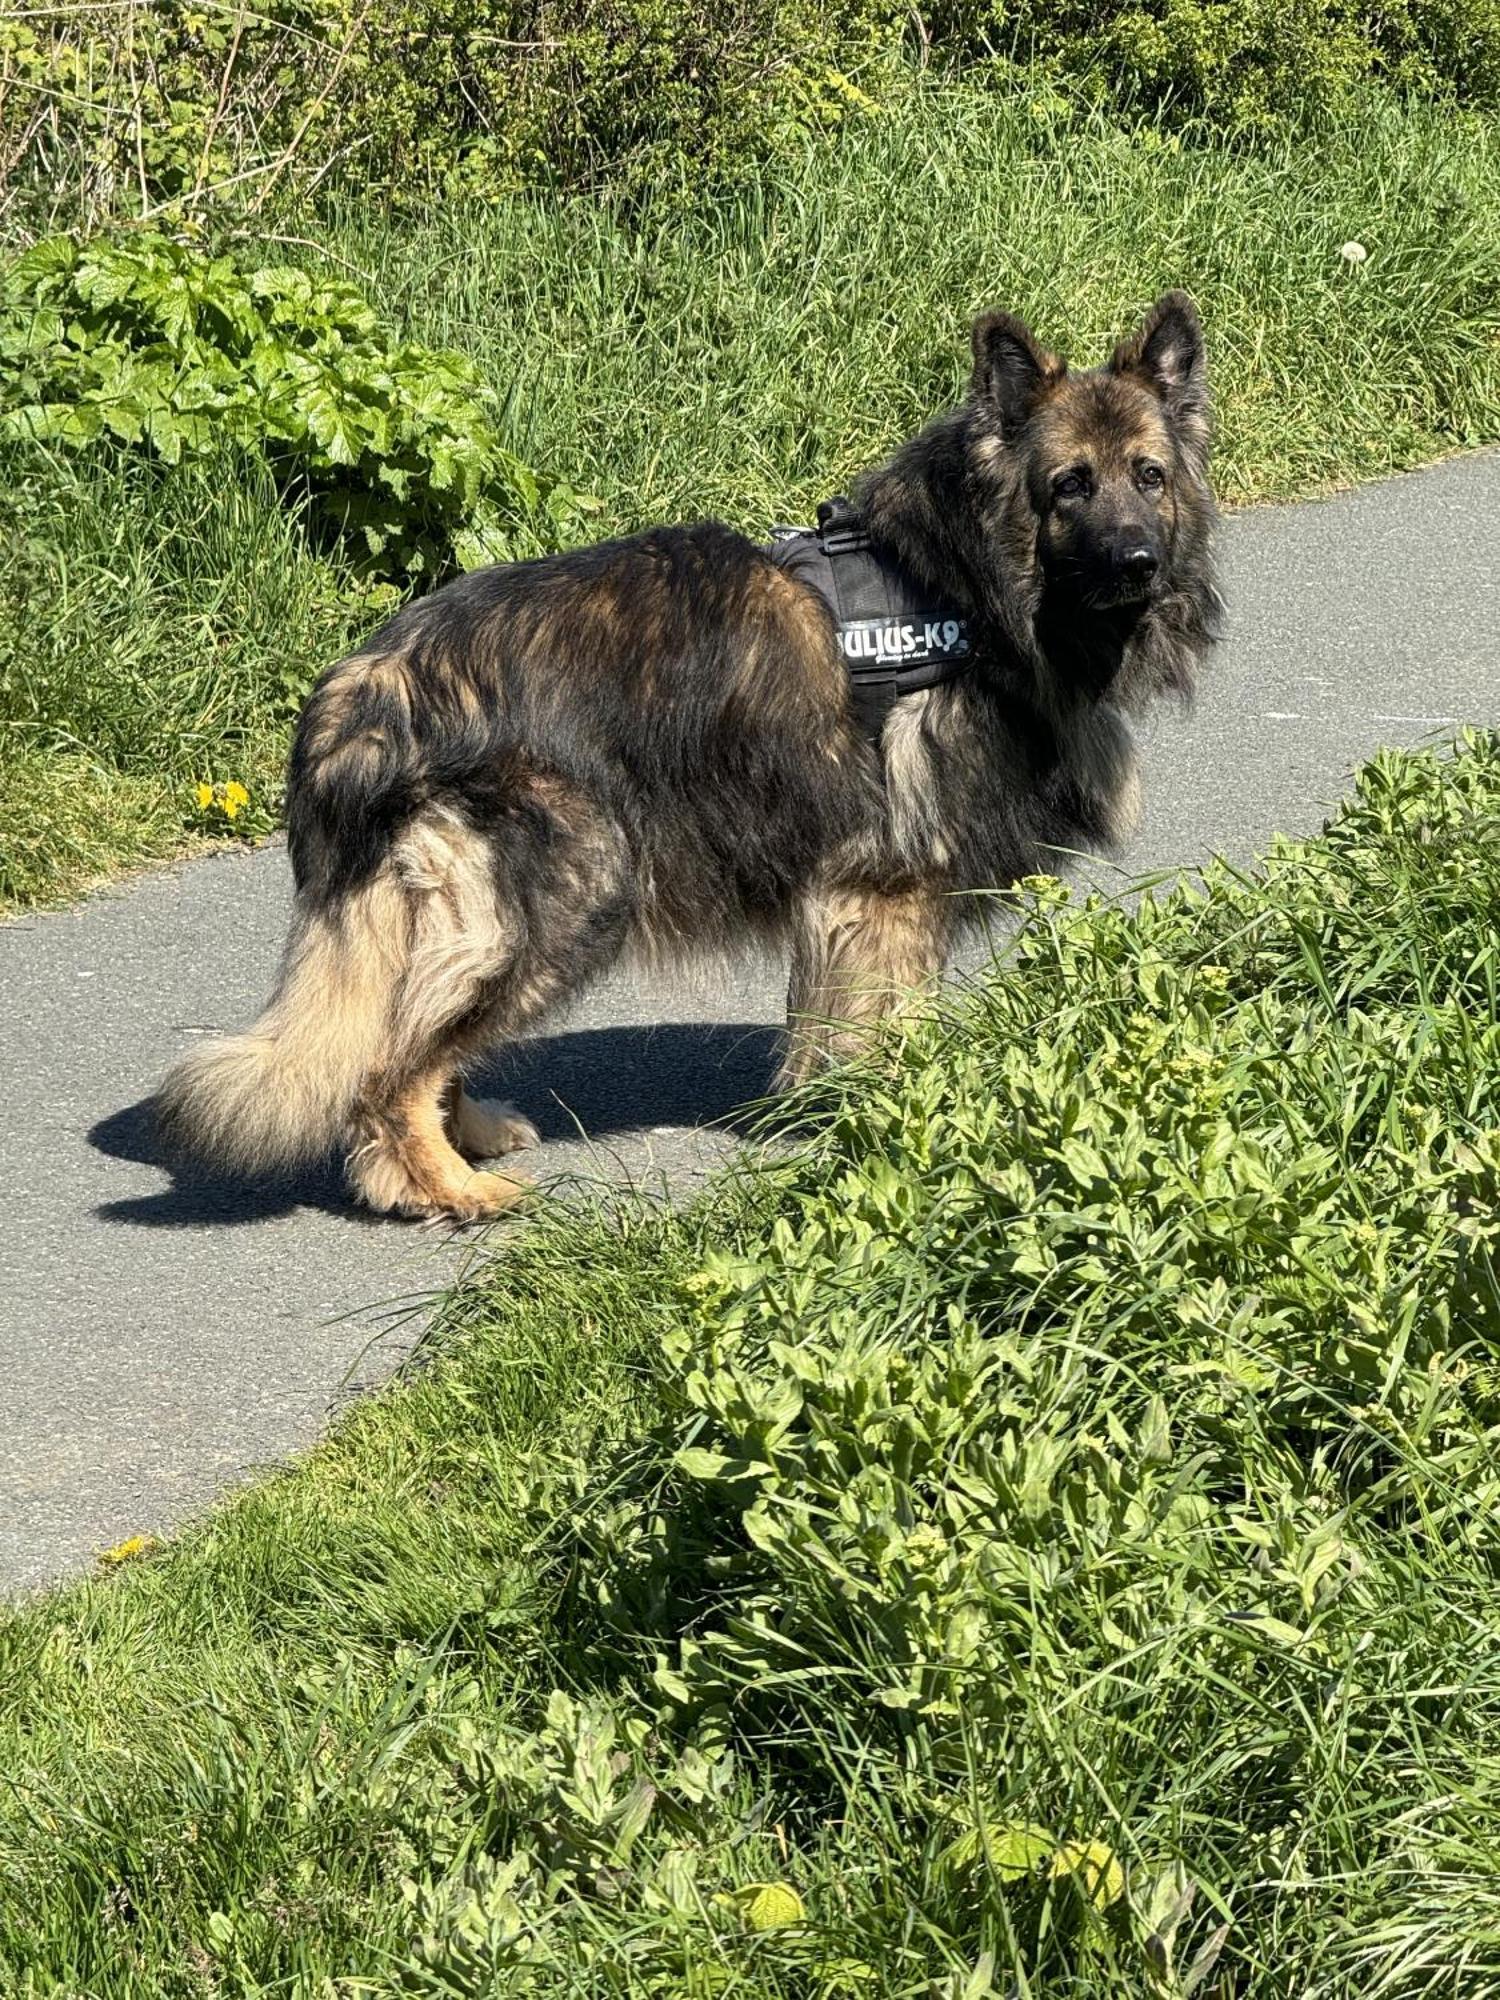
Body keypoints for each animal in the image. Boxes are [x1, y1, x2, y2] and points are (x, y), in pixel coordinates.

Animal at [162, 288, 1224, 1208]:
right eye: (1069, 486)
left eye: (1150, 476)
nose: (1140, 562)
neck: (966, 589)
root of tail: (365, 687)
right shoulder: (889, 893)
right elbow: (892, 1028)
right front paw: (904, 1120)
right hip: (574, 892)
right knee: (392, 1069)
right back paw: (445, 1189)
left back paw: (470, 1137)